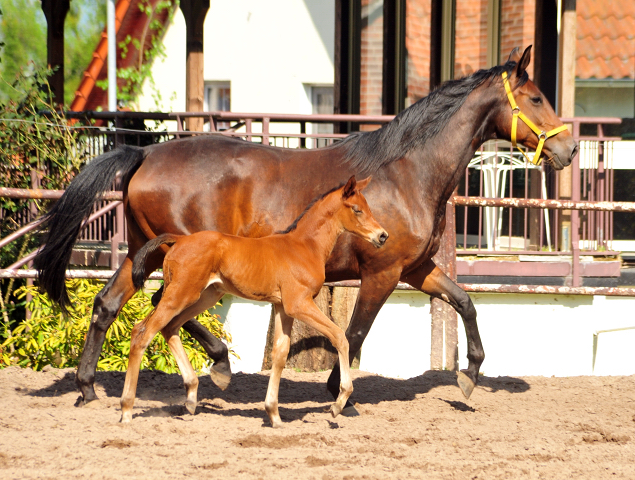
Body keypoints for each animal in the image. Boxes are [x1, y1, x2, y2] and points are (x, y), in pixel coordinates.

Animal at [119, 176, 388, 428]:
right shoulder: (299, 304)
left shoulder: (282, 307)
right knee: (142, 331)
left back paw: (192, 396)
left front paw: (274, 415)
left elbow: (280, 353)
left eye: (368, 207)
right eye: (357, 209)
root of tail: (179, 240)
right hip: (181, 294)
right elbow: (339, 336)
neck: (304, 247)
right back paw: (127, 409)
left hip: (205, 295)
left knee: (169, 328)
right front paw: (338, 403)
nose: (382, 236)